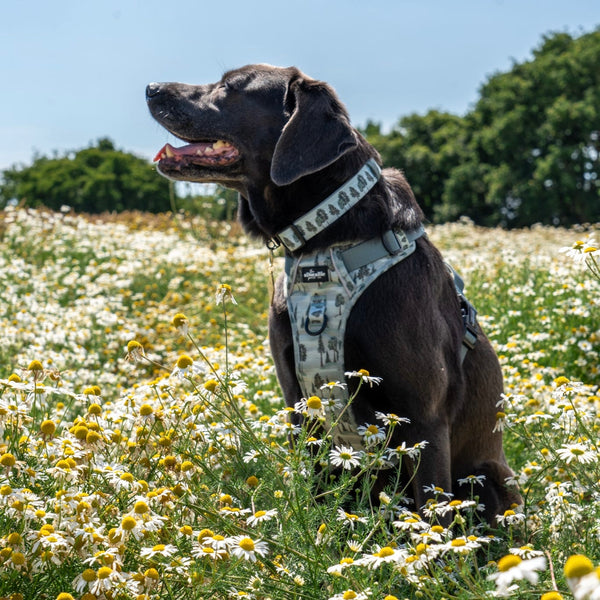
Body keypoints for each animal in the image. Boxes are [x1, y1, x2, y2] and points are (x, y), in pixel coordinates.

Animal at [148, 62, 524, 520]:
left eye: (230, 86)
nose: (151, 88)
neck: (324, 244)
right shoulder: (298, 405)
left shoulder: (424, 418)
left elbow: (431, 512)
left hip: (488, 478)